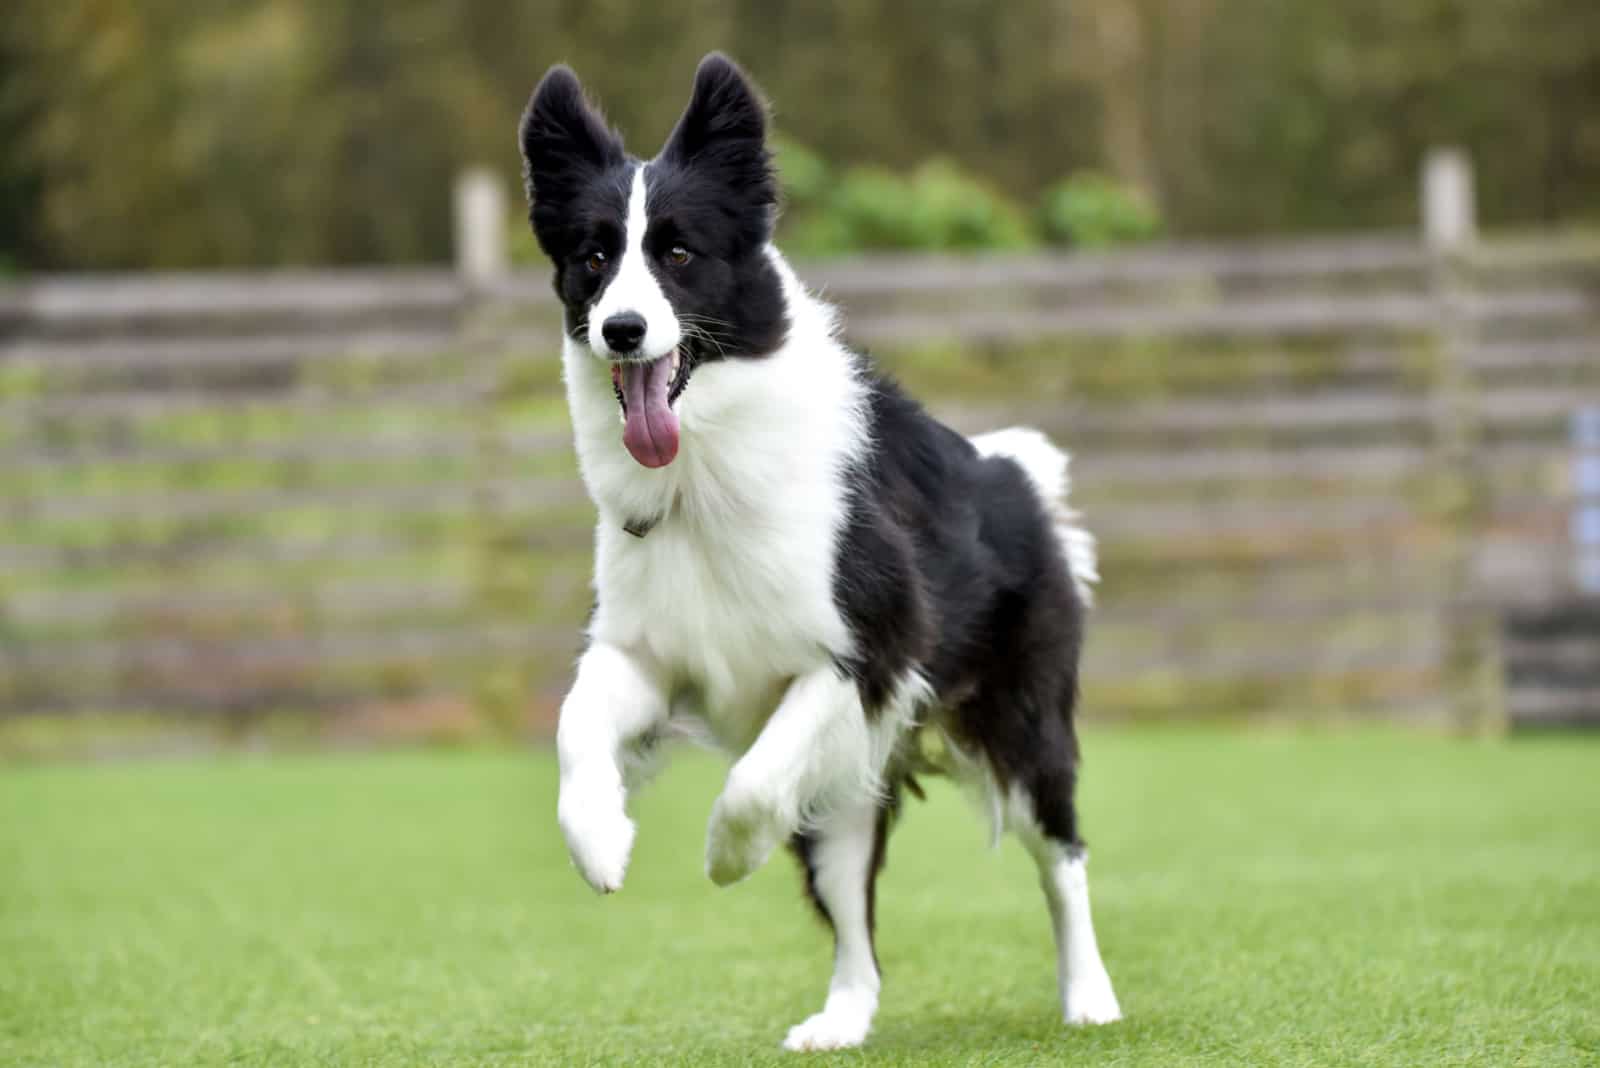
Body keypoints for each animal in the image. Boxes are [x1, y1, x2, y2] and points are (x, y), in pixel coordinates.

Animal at [518, 54, 1120, 1048]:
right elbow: (577, 726)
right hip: (847, 791)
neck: (704, 475)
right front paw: (600, 842)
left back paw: (1090, 998)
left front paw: (726, 855)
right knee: (852, 919)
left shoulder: (865, 655)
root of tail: (1014, 471)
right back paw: (839, 1022)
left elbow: (755, 783)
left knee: (1062, 856)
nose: (622, 329)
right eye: (594, 258)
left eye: (678, 254)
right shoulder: (647, 650)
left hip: (1021, 726)